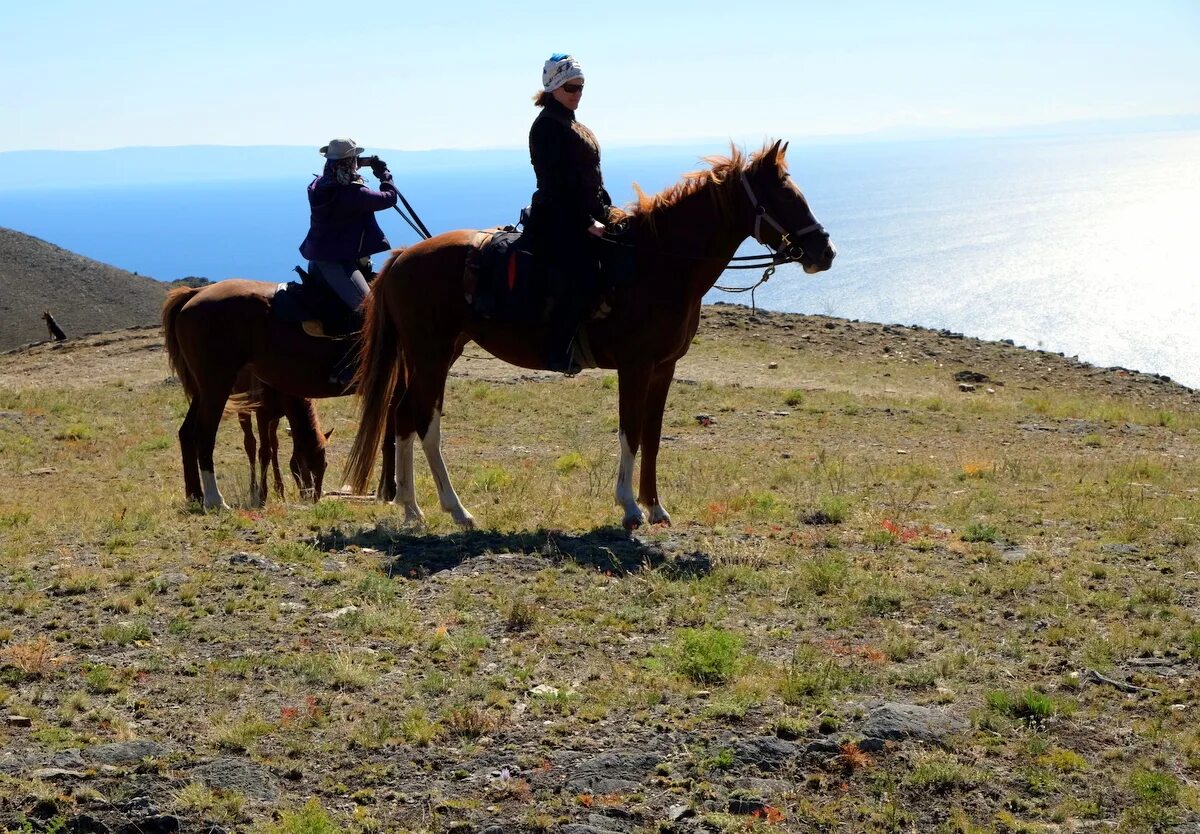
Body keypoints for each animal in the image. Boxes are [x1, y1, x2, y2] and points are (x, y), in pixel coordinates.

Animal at [159, 282, 381, 508]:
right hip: (219, 391)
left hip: (203, 392)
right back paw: (217, 499)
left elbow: (274, 448)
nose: (313, 497)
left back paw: (195, 495)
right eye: (302, 464)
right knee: (218, 438)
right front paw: (263, 495)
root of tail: (196, 293)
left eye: (325, 464)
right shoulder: (263, 414)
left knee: (186, 433)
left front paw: (278, 490)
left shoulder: (277, 416)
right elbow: (264, 452)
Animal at [345, 138, 835, 528]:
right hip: (430, 355)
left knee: (403, 416)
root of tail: (404, 256)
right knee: (424, 422)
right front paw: (629, 508)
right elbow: (630, 432)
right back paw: (456, 509)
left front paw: (655, 506)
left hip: (437, 353)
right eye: (784, 197)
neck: (658, 264)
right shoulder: (635, 368)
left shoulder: (663, 369)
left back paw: (412, 508)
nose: (824, 251)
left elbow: (653, 435)